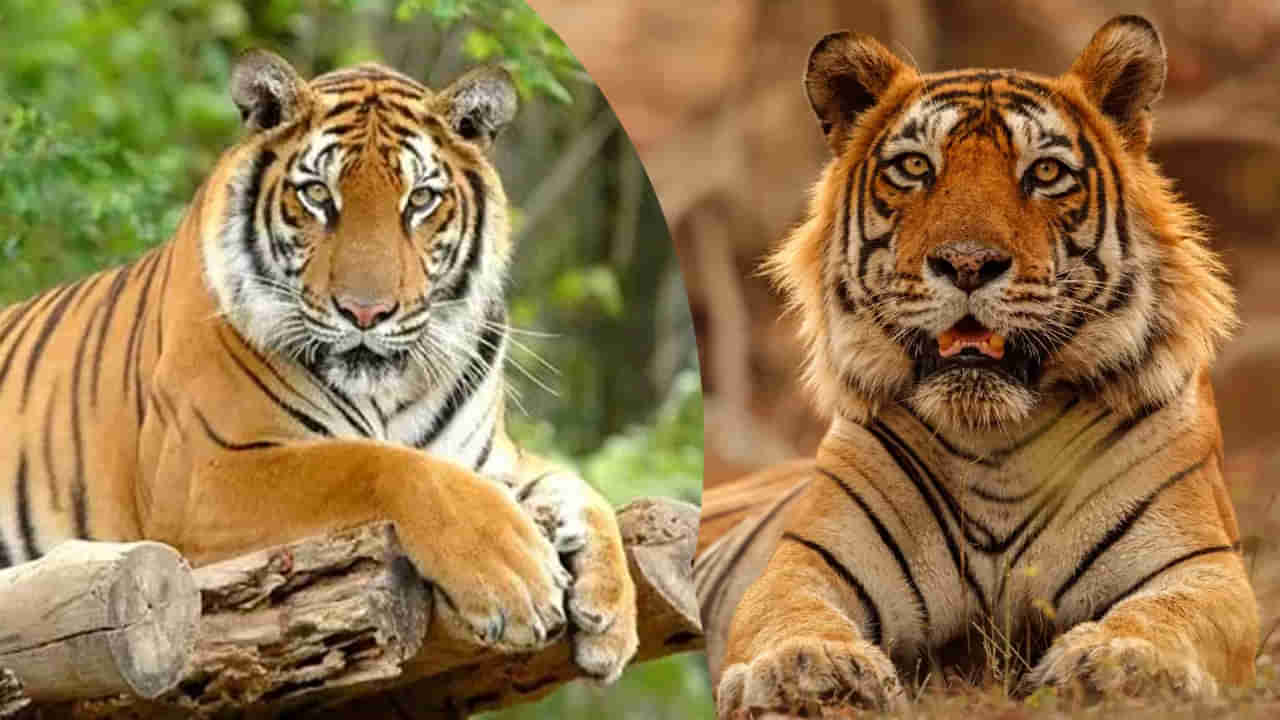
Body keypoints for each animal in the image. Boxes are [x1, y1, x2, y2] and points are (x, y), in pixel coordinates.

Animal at [0, 50, 638, 683]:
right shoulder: (205, 473)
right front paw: (515, 577)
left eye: (420, 200)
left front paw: (612, 611)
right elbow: (374, 463)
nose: (366, 312)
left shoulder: (488, 456)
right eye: (316, 195)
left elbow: (578, 488)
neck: (388, 392)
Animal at [695, 15, 1259, 716]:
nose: (967, 262)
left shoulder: (1202, 567)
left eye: (1045, 172)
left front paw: (1119, 663)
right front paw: (807, 668)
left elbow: (1168, 616)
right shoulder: (807, 563)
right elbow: (788, 615)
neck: (998, 443)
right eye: (915, 166)